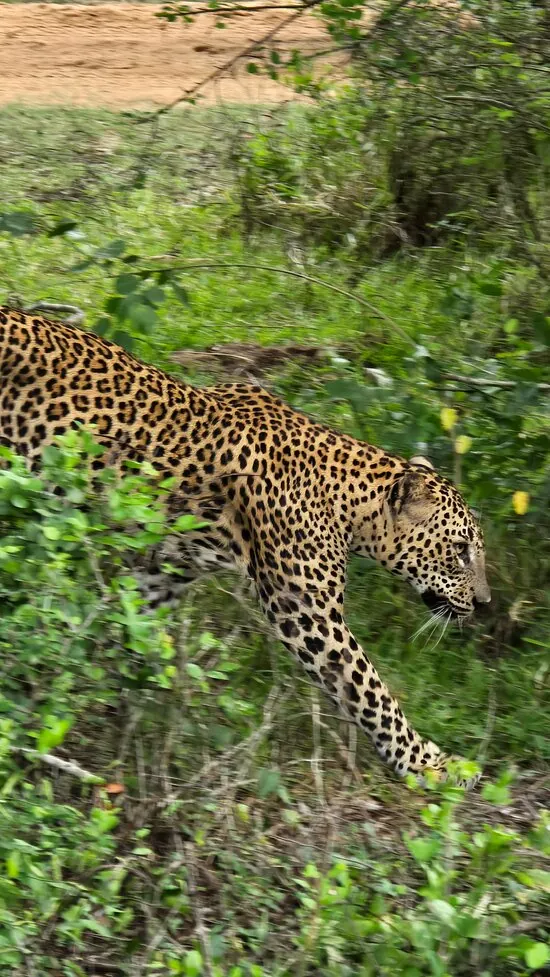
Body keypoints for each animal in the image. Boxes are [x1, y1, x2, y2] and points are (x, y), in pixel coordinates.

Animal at [0, 306, 491, 786]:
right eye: (460, 549)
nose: (484, 604)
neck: (349, 501)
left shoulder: (162, 573)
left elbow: (128, 634)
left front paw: (105, 707)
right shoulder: (306, 612)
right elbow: (370, 690)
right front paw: (429, 764)